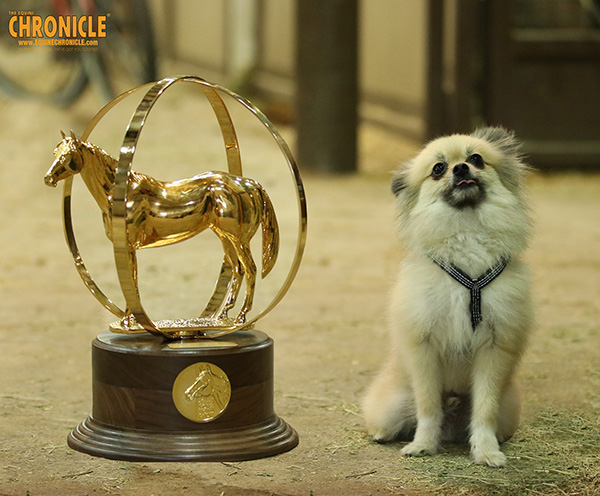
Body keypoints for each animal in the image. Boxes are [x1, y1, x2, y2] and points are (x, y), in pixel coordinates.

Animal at [364, 126, 532, 466]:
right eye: (438, 168)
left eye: (476, 159)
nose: (461, 168)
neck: (466, 232)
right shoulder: (424, 350)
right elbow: (428, 406)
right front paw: (423, 445)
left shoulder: (494, 349)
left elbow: (485, 409)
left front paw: (486, 451)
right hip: (392, 405)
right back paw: (382, 433)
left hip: (507, 409)